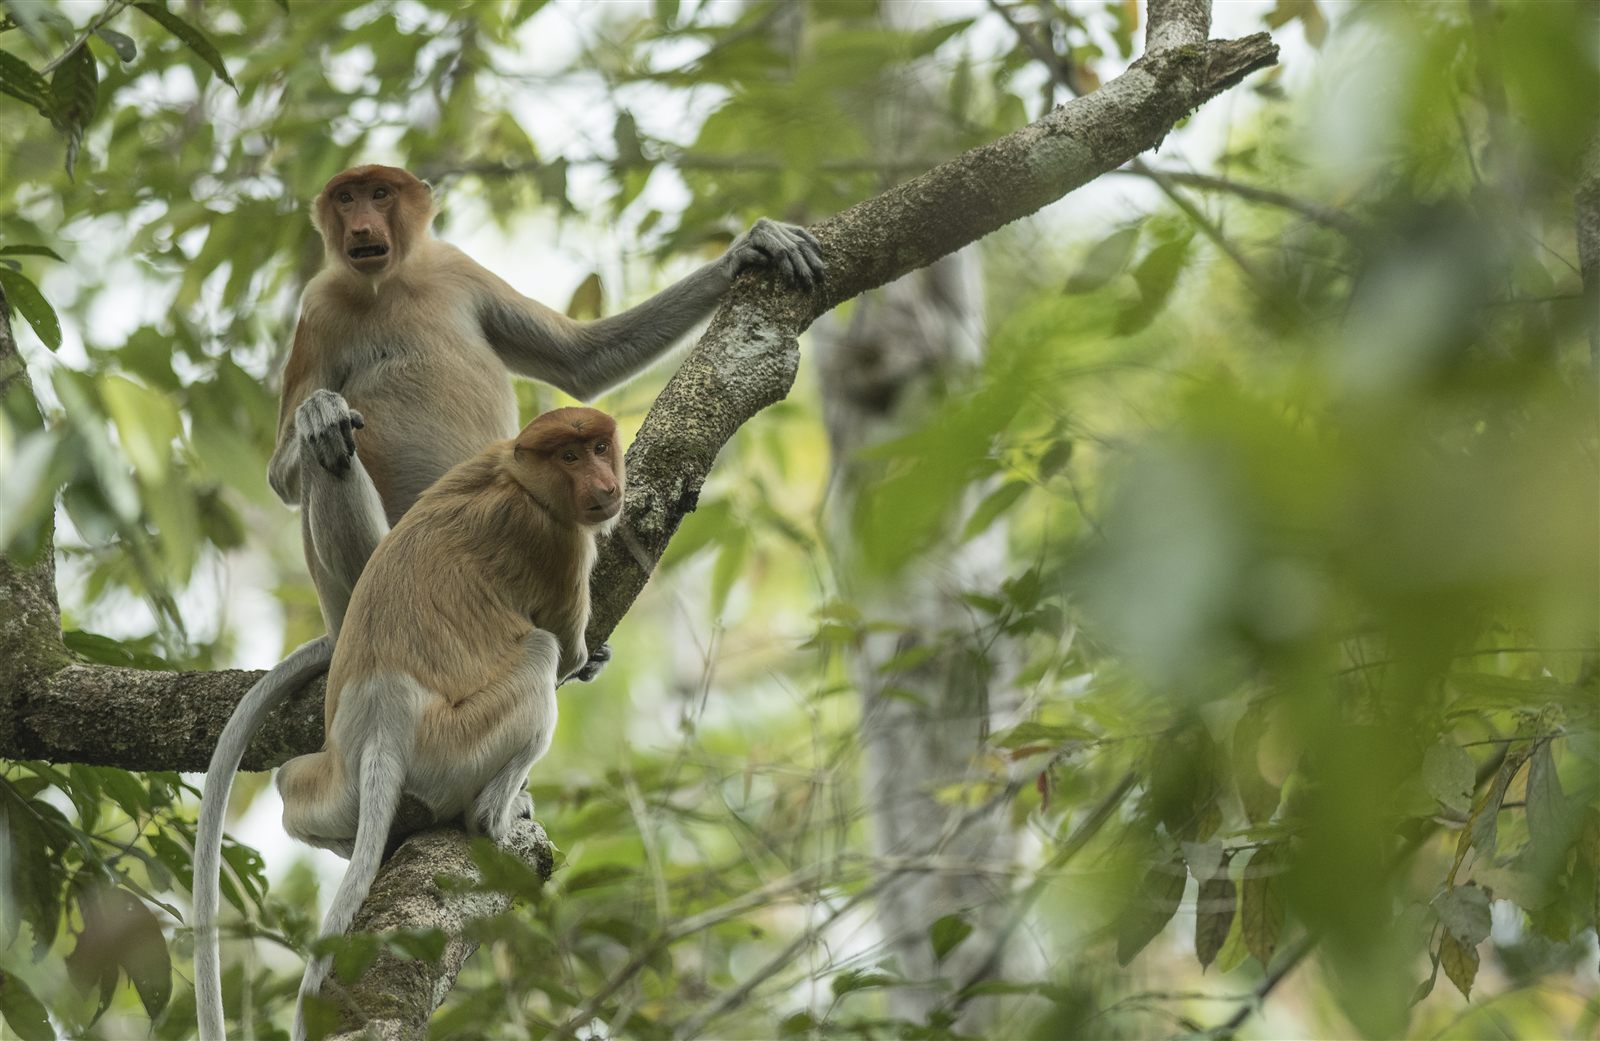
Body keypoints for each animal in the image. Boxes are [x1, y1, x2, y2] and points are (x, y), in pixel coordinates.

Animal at [276, 407, 621, 1040]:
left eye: (601, 448)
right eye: (571, 457)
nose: (606, 487)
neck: (516, 476)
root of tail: (383, 726)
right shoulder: (558, 542)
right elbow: (566, 647)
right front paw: (590, 659)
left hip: (331, 784)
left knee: (288, 785)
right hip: (454, 744)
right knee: (540, 654)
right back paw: (498, 821)